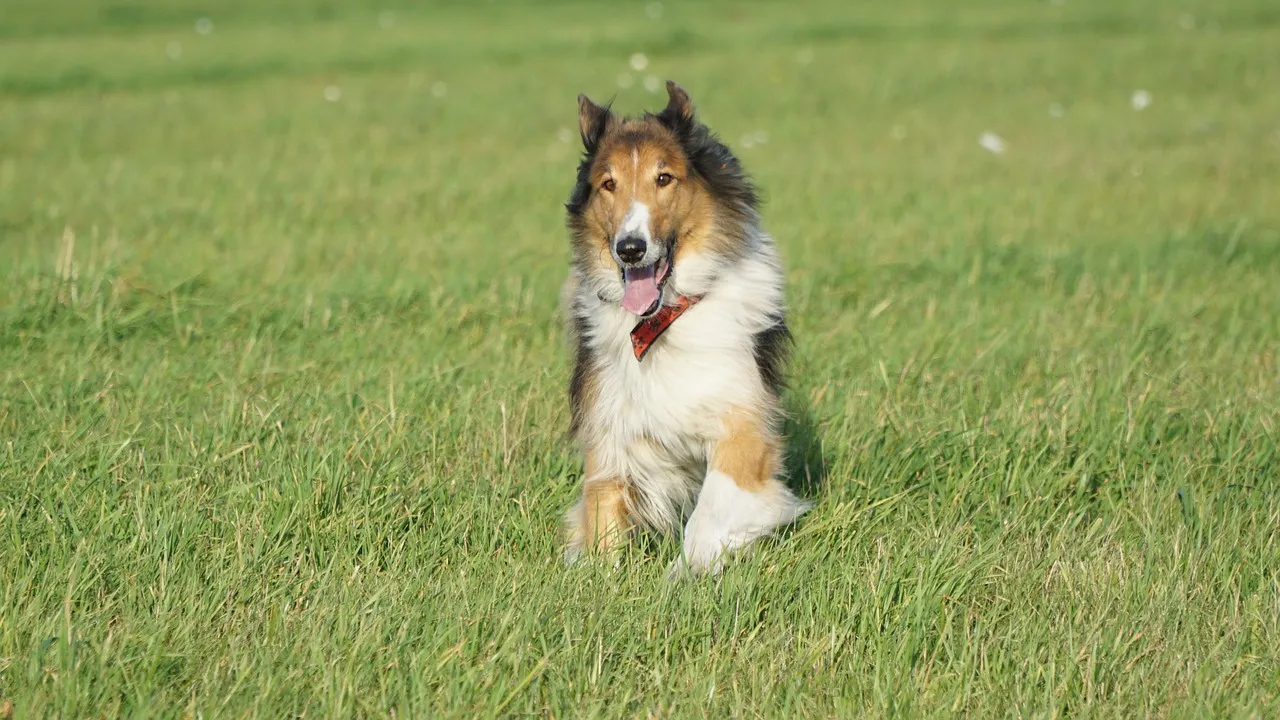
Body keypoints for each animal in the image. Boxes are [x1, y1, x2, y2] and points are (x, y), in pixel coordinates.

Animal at [560, 79, 808, 571]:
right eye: (608, 184)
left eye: (664, 178)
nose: (630, 248)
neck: (662, 321)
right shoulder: (610, 430)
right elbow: (601, 517)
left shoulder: (742, 423)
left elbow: (710, 517)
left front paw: (685, 575)